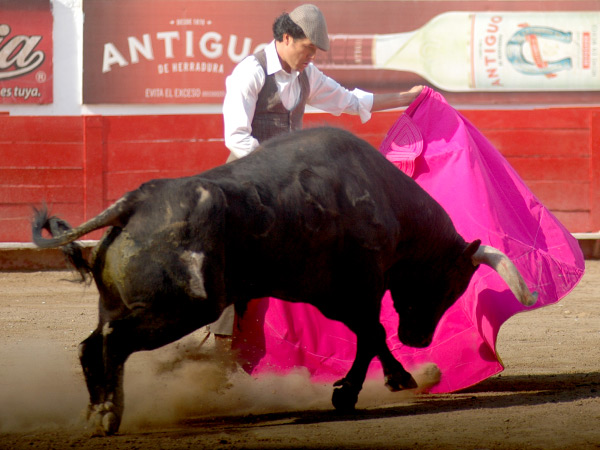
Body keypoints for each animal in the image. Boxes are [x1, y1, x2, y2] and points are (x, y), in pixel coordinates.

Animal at [32, 125, 536, 432]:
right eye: (450, 285)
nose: (419, 338)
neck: (386, 198)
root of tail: (134, 201)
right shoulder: (359, 287)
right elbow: (372, 332)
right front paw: (362, 389)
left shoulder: (331, 294)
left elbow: (368, 334)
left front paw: (386, 381)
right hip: (183, 307)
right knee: (112, 343)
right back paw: (108, 415)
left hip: (123, 304)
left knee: (90, 345)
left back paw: (93, 413)